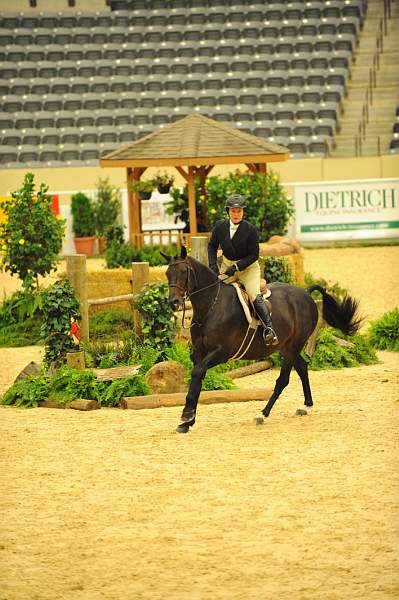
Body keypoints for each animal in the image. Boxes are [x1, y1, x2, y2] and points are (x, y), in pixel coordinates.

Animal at [164, 246, 364, 434]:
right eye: (167, 273)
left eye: (184, 271)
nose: (173, 302)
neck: (211, 307)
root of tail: (306, 294)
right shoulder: (199, 353)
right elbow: (197, 380)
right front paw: (187, 422)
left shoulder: (221, 353)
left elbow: (197, 373)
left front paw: (186, 416)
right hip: (286, 347)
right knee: (302, 367)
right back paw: (305, 406)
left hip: (293, 346)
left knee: (283, 380)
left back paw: (262, 414)